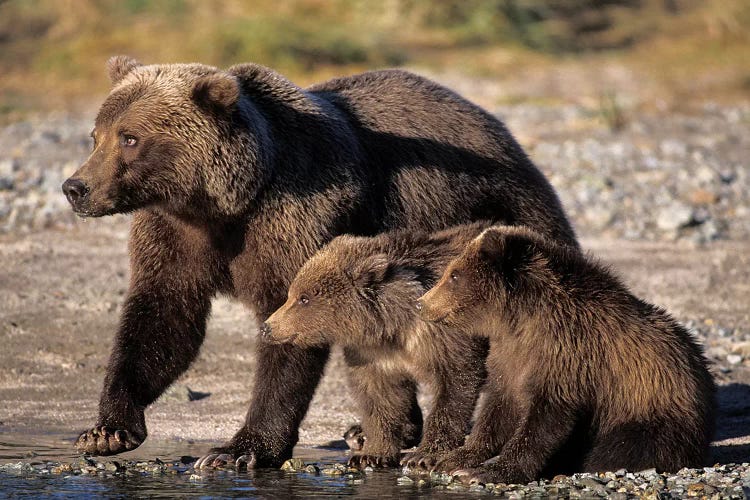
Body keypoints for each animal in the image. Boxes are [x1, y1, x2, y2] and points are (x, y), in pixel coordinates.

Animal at [61, 57, 580, 468]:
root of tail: (492, 122)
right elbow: (162, 319)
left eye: (129, 138)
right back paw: (371, 430)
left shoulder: (295, 221)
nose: (75, 187)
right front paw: (106, 429)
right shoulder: (176, 236)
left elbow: (291, 333)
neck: (225, 205)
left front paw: (238, 450)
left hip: (503, 211)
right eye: (96, 135)